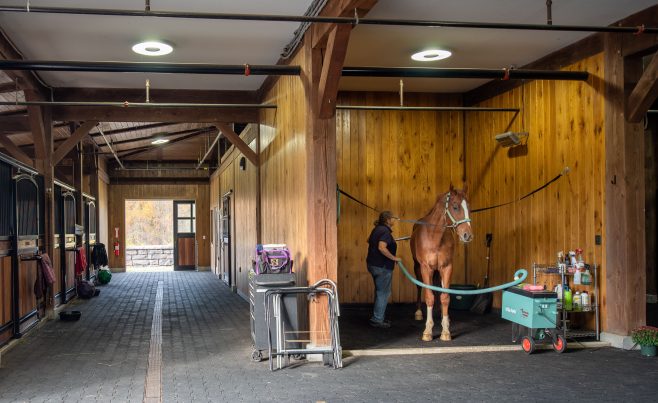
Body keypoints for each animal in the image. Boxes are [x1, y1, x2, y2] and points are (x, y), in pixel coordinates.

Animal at [410, 186, 473, 342]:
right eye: (455, 206)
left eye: (469, 207)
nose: (467, 235)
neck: (435, 236)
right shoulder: (426, 268)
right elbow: (429, 297)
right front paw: (427, 331)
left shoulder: (446, 267)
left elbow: (445, 297)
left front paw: (445, 331)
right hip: (418, 267)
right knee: (420, 287)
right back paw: (419, 312)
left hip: (438, 271)